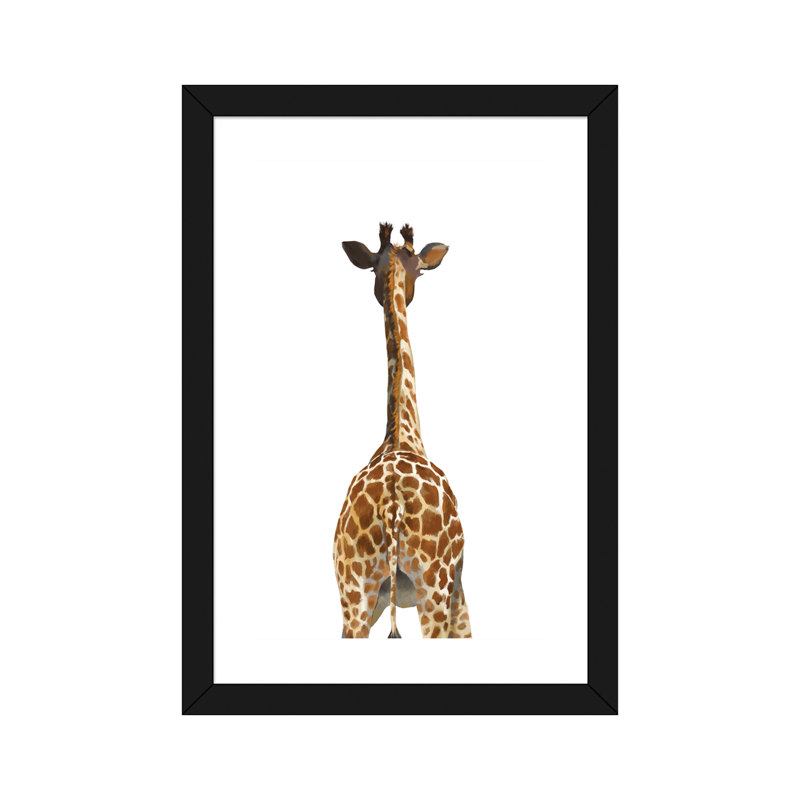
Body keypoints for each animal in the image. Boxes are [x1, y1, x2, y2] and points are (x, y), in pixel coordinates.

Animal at [333, 222, 472, 639]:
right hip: (434, 588)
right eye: (420, 272)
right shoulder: (460, 591)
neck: (403, 434)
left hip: (355, 595)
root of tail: (392, 504)